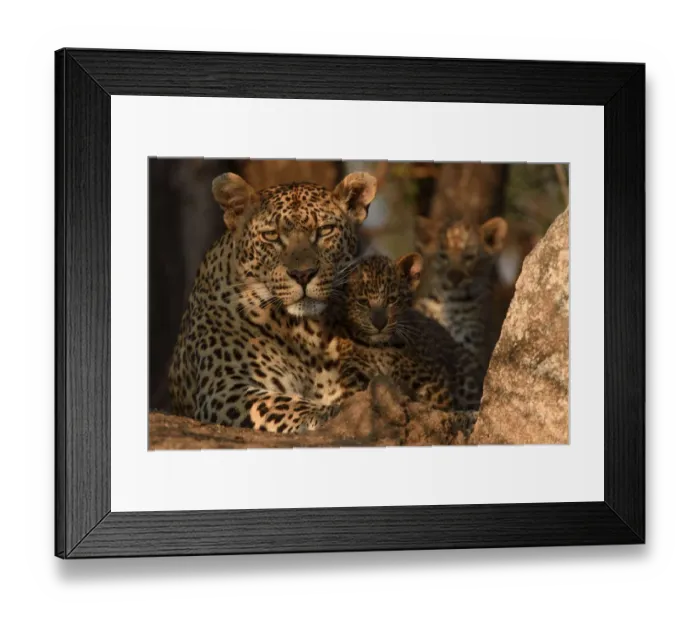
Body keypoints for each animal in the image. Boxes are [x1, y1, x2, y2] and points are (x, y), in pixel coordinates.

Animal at [168, 170, 378, 433]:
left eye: (325, 230)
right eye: (271, 236)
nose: (303, 274)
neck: (306, 334)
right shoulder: (225, 387)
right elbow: (280, 403)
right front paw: (326, 413)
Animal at [323, 253, 485, 412]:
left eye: (391, 300)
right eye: (363, 302)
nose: (379, 324)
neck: (378, 348)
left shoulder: (431, 383)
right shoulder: (352, 374)